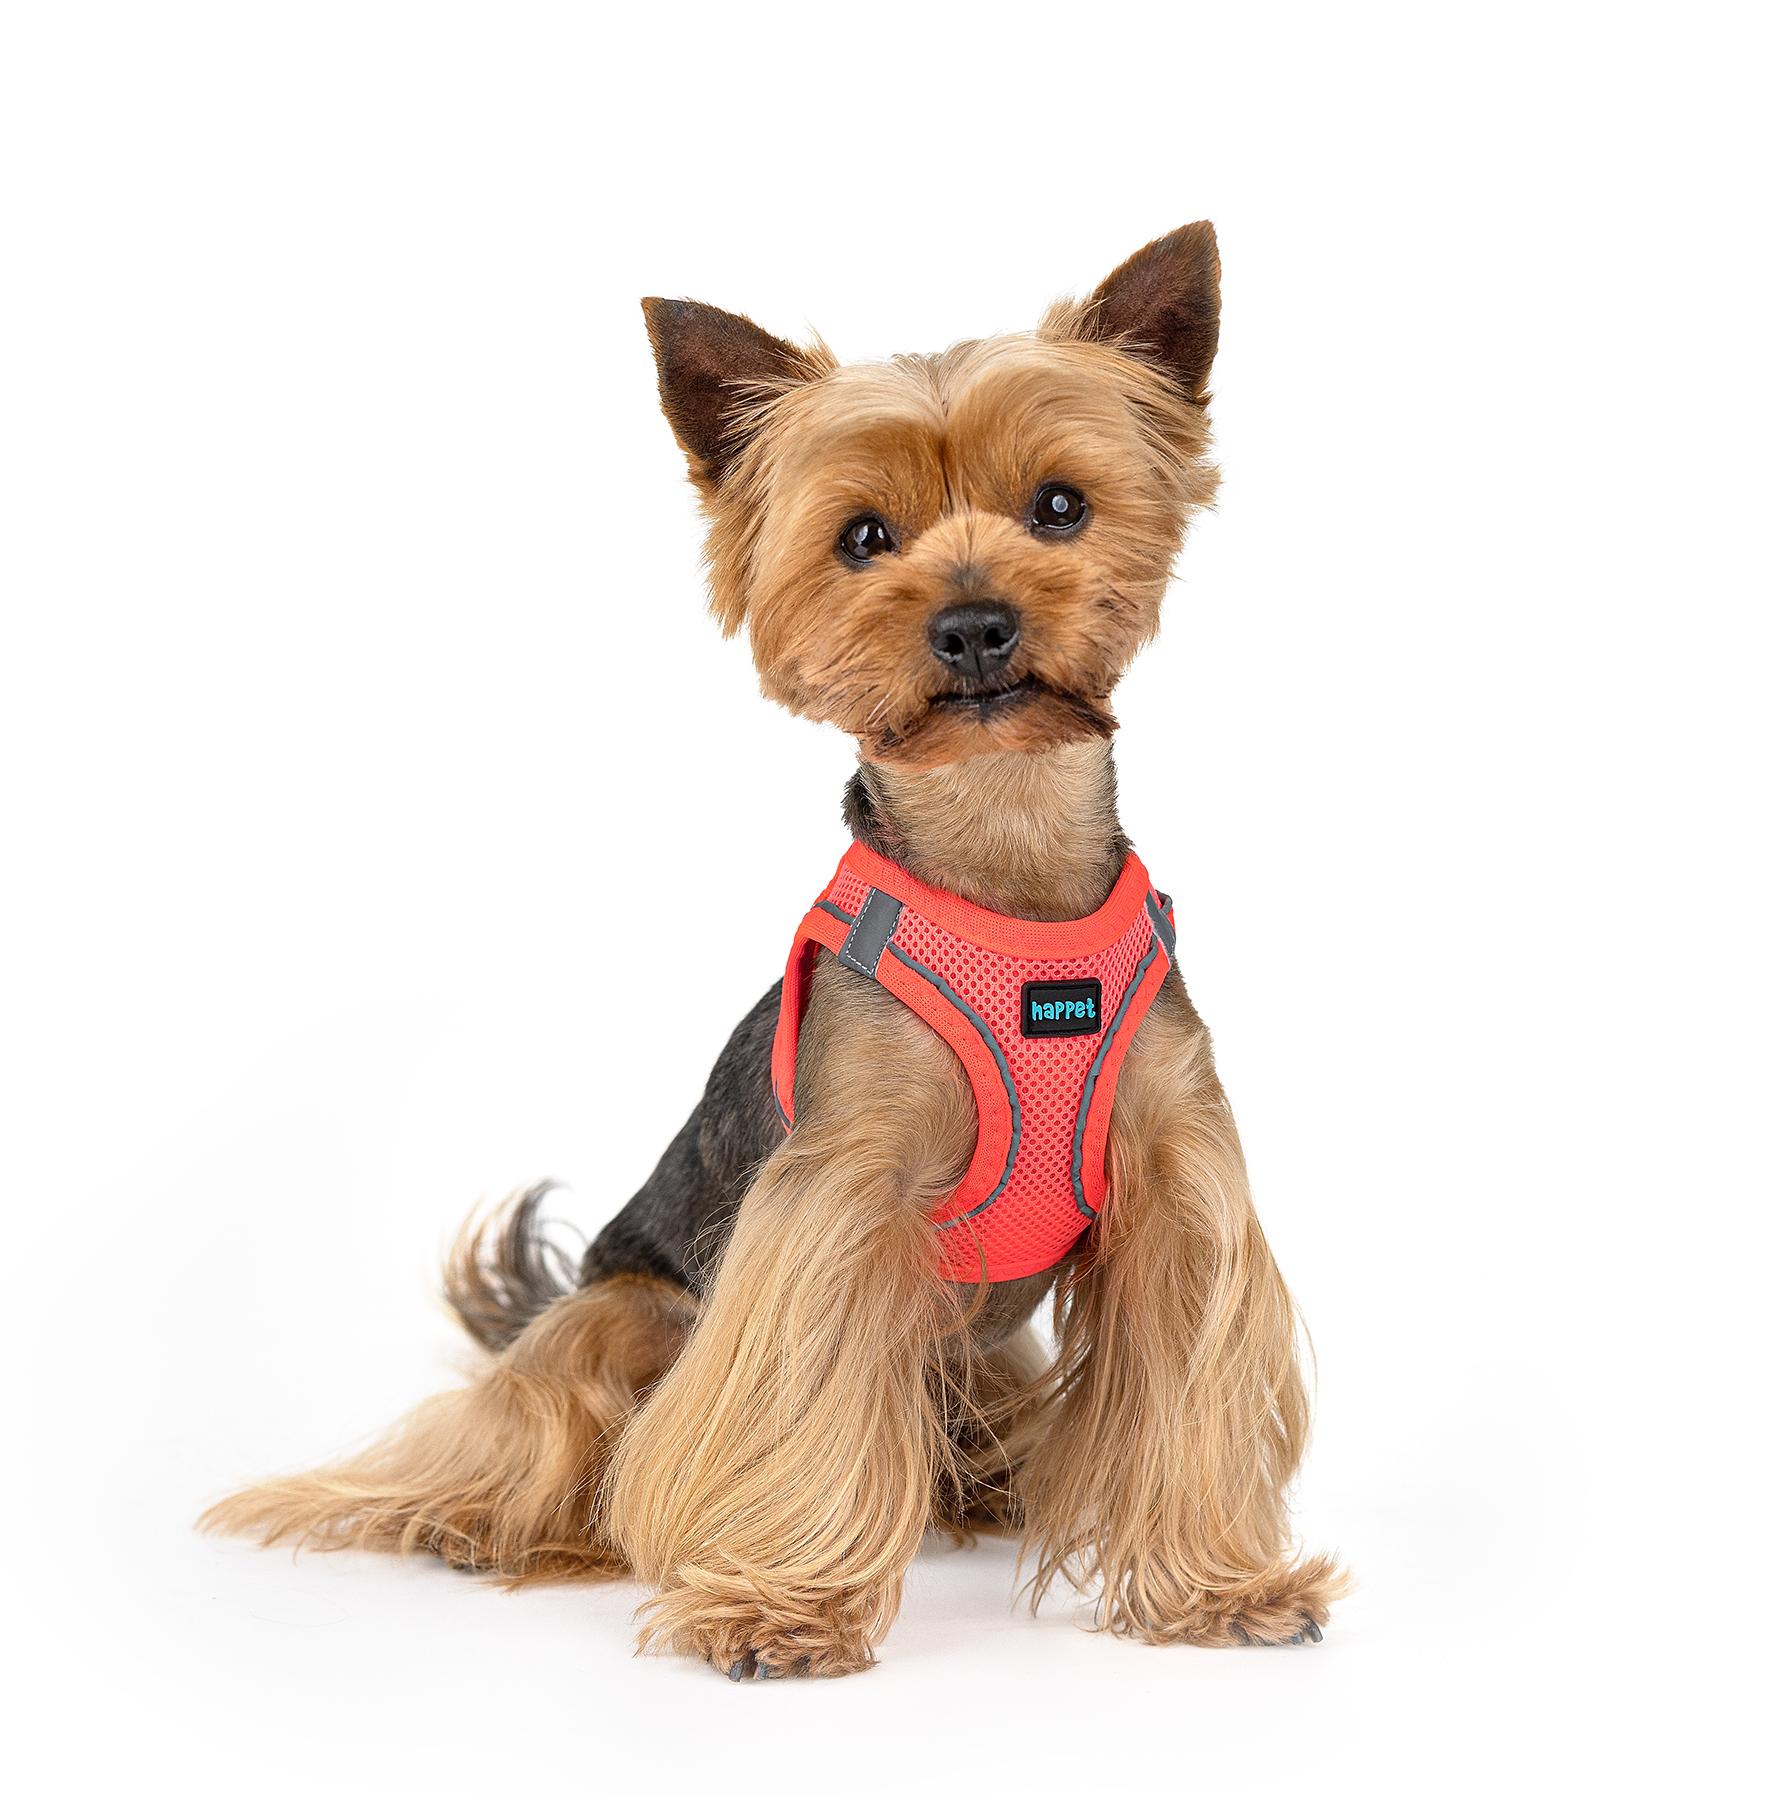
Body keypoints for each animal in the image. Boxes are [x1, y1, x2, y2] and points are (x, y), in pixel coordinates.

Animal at [203, 223, 1346, 1678]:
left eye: (1059, 507)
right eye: (863, 537)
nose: (972, 622)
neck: (1006, 861)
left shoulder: (1174, 1181)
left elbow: (1182, 1389)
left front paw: (1215, 1588)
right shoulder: (840, 1197)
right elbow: (797, 1396)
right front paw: (781, 1605)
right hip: (623, 1309)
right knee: (515, 1434)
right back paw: (486, 1524)